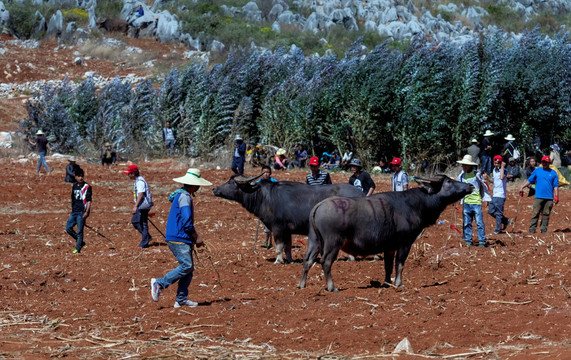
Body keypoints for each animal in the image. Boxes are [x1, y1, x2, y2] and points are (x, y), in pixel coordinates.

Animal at [212, 175, 364, 264]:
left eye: (231, 182)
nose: (215, 189)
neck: (264, 197)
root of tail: (360, 193)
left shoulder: (278, 227)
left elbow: (279, 245)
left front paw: (278, 261)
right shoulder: (287, 230)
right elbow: (288, 246)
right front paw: (290, 260)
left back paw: (352, 258)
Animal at [300, 175, 474, 292]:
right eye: (449, 181)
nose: (470, 185)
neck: (414, 203)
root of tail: (319, 206)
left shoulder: (389, 247)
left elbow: (388, 266)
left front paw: (387, 283)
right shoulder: (405, 243)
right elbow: (400, 264)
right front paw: (399, 284)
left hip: (314, 241)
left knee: (307, 260)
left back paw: (302, 284)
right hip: (332, 243)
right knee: (326, 262)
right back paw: (332, 287)